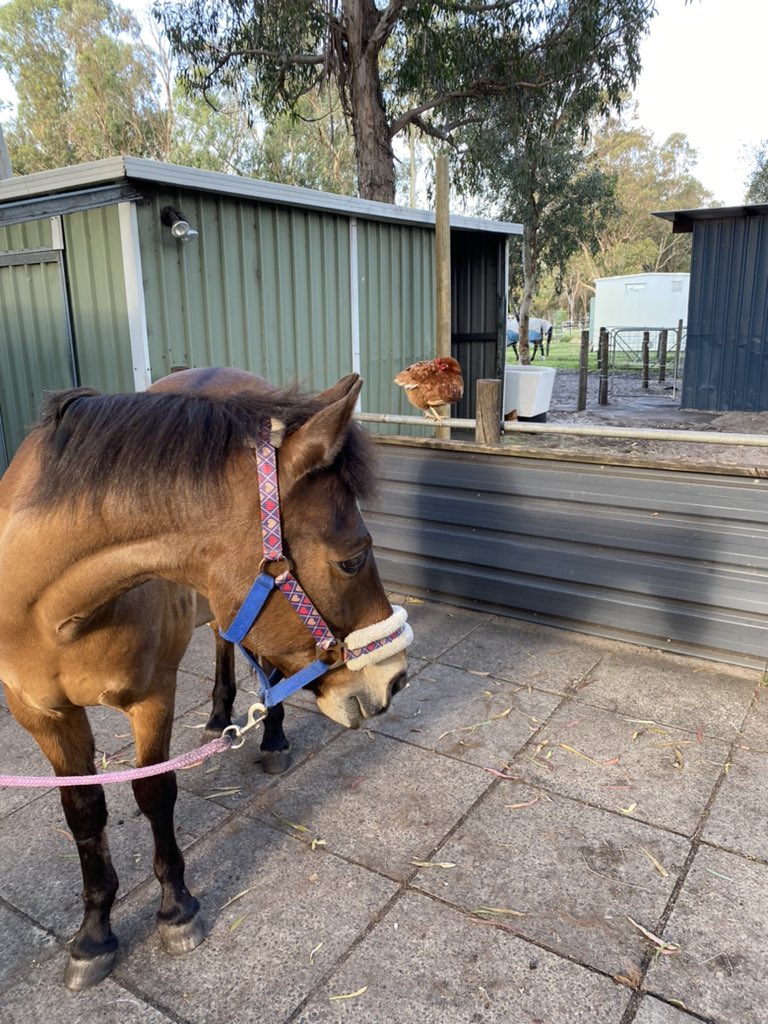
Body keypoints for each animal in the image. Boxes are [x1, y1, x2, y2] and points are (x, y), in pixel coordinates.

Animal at [0, 368, 411, 990]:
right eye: (352, 559)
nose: (395, 679)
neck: (53, 609)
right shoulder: (42, 714)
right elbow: (84, 814)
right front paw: (94, 934)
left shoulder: (152, 699)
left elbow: (153, 792)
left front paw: (176, 909)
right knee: (223, 640)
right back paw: (220, 715)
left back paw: (272, 738)